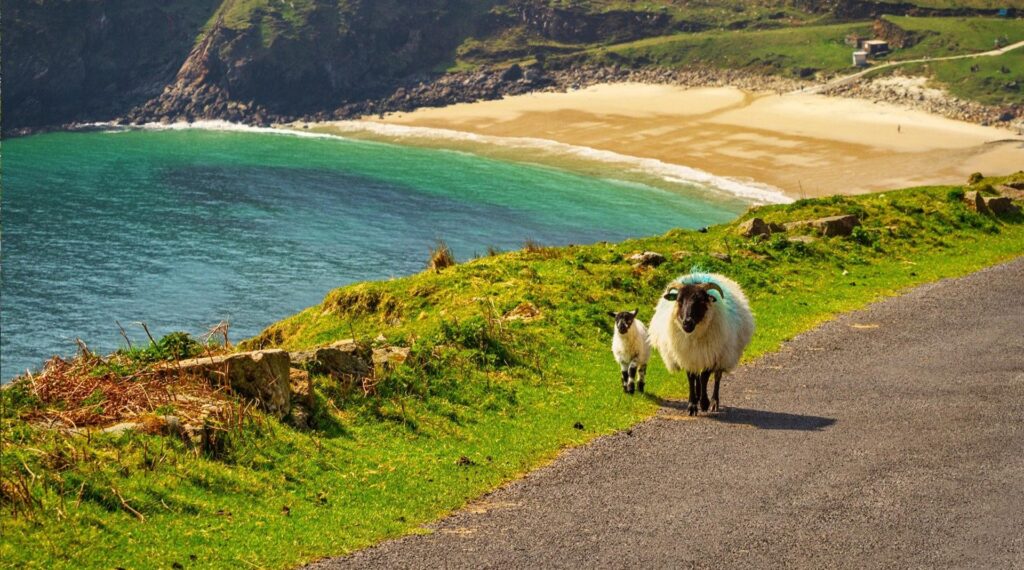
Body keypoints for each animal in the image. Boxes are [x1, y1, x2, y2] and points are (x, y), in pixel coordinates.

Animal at [647, 270, 753, 413]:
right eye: (679, 300)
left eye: (701, 300)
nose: (687, 322)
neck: (694, 336)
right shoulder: (687, 356)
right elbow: (691, 377)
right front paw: (692, 404)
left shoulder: (711, 355)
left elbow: (704, 377)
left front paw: (704, 403)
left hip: (723, 354)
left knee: (717, 377)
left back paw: (714, 402)